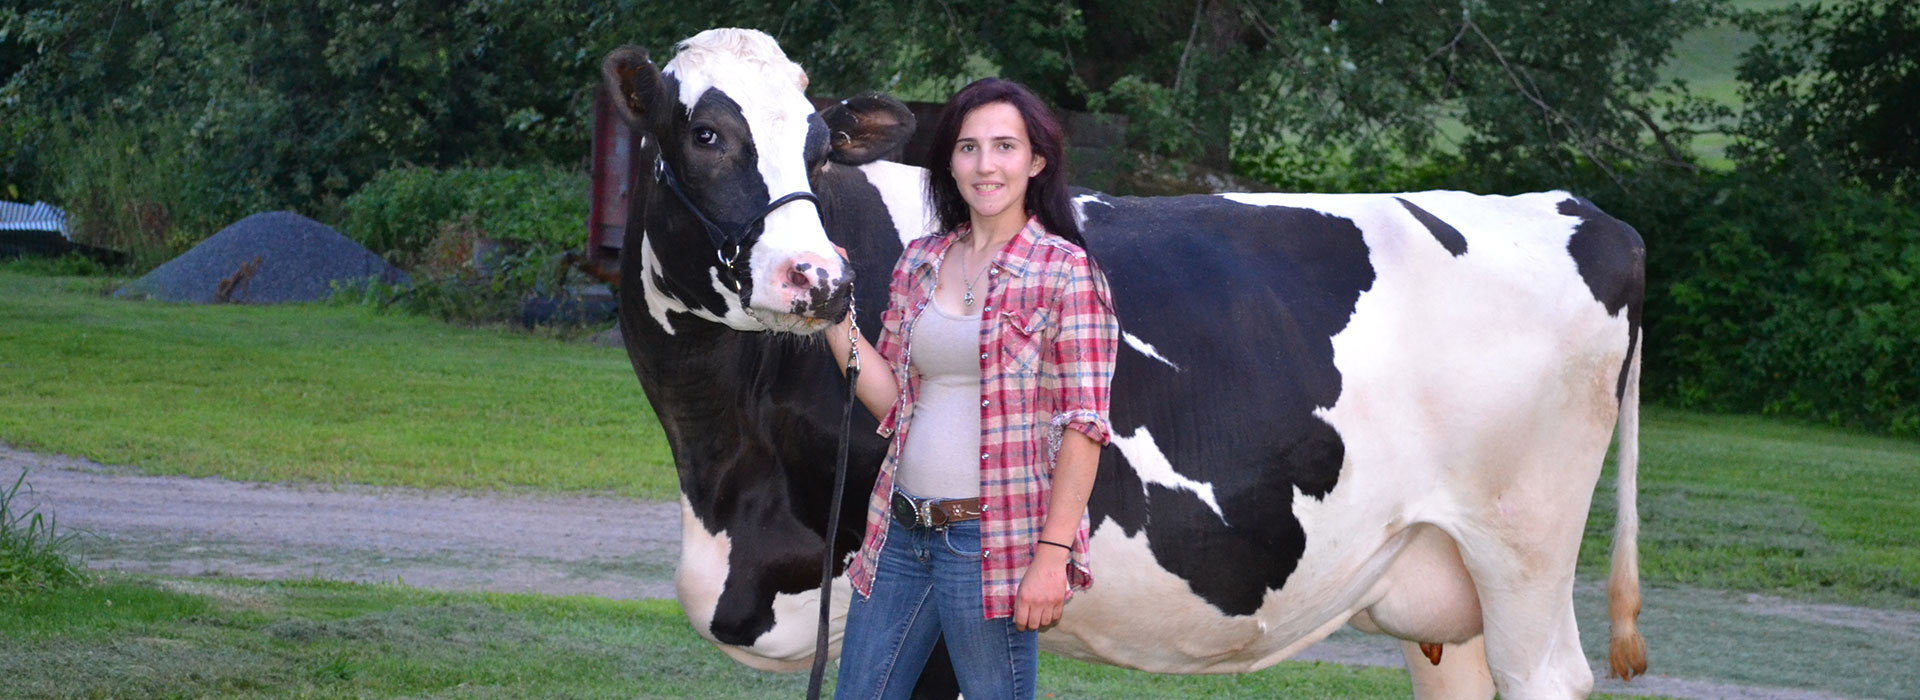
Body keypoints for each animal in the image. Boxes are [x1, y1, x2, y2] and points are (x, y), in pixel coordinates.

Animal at [602, 28, 1651, 698]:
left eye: (820, 150)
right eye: (705, 133)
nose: (818, 280)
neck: (721, 468)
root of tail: (1578, 210)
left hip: (1522, 549)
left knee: (1548, 674)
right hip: (1447, 585)